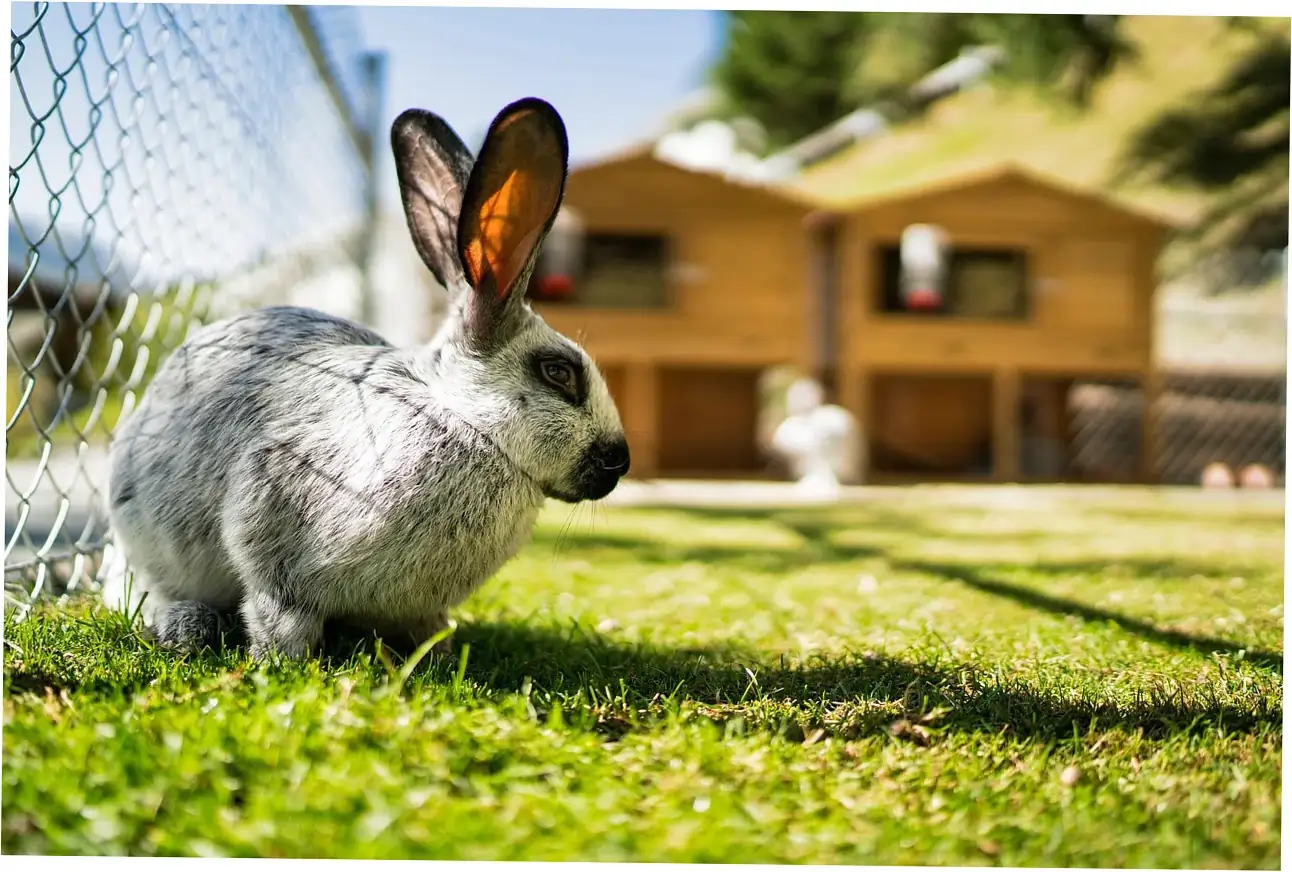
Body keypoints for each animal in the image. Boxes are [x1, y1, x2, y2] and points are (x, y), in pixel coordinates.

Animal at [100, 97, 630, 661]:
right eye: (559, 373)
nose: (620, 461)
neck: (467, 421)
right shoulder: (269, 513)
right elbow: (275, 606)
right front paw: (282, 661)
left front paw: (437, 653)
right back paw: (187, 625)